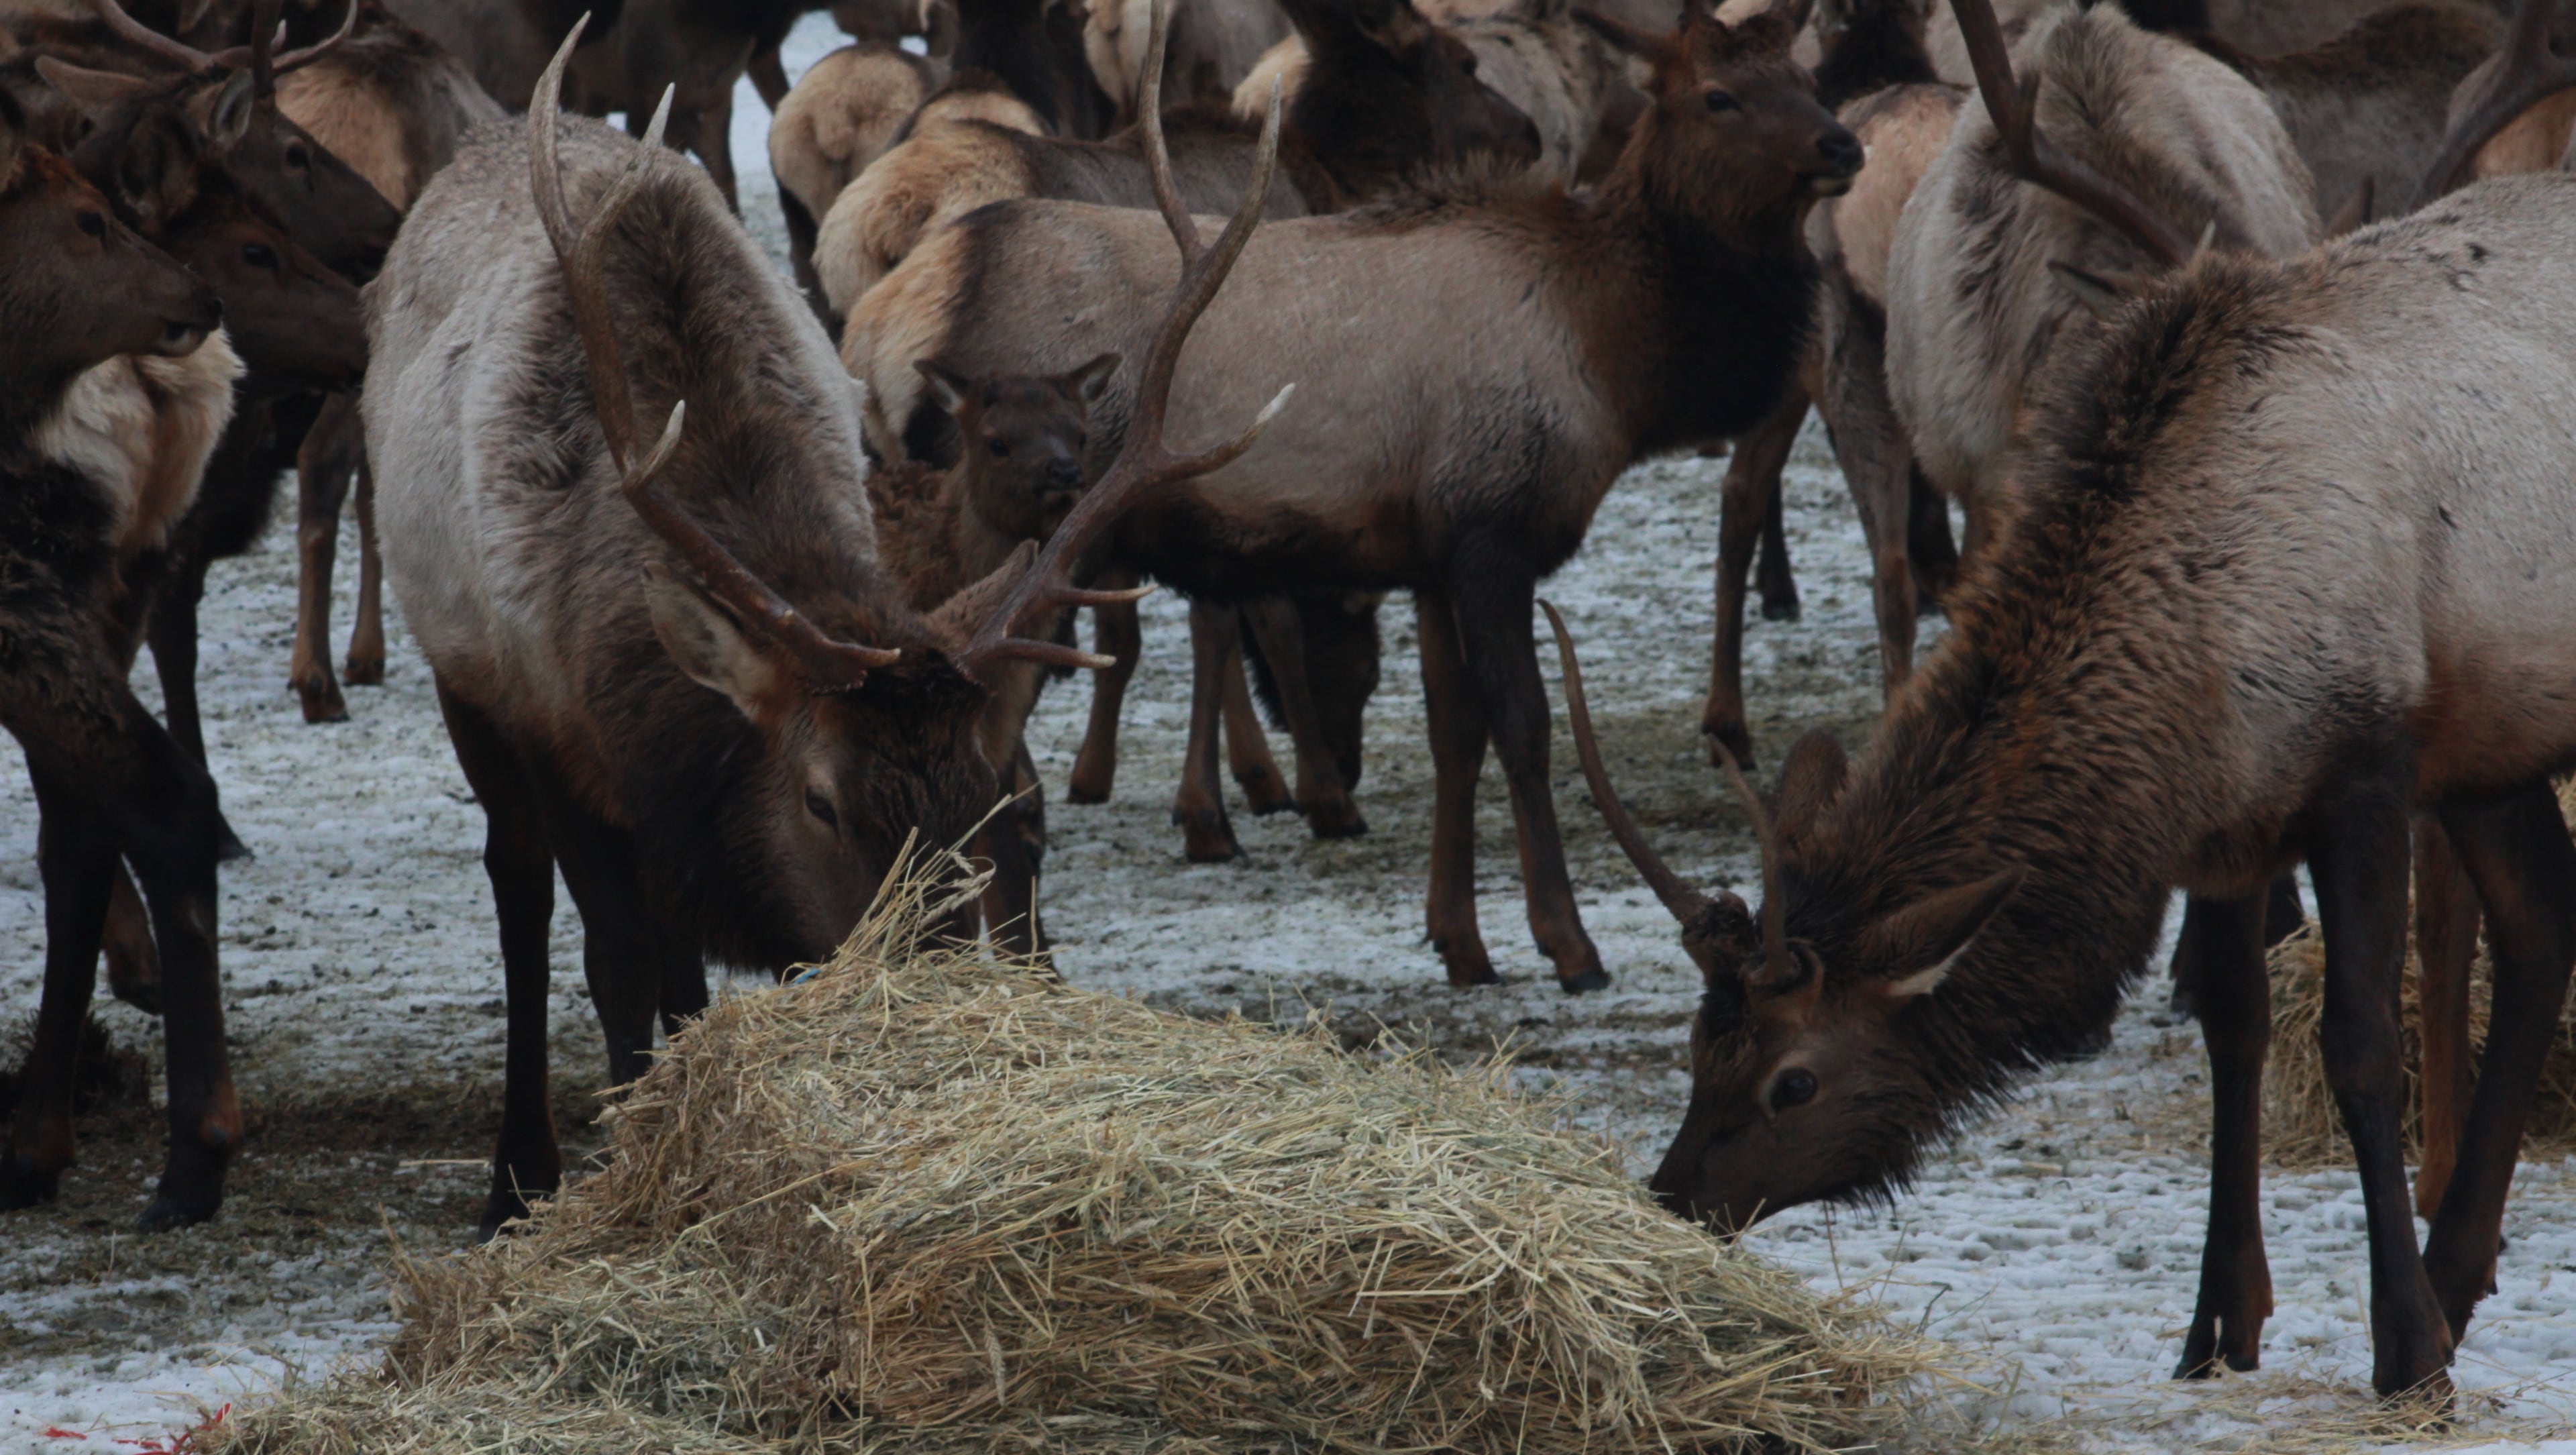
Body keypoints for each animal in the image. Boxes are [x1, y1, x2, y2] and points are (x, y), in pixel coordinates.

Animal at [363, 21, 1285, 1234]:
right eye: (820, 800)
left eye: (984, 799)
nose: (930, 1000)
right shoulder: (557, 728)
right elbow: (611, 962)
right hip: (458, 670)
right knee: (516, 889)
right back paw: (516, 1171)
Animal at [847, 0, 1859, 991]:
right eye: (1719, 96)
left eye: (1804, 78)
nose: (1843, 144)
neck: (1613, 359)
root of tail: (884, 315)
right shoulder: (1492, 527)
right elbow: (1525, 728)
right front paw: (1568, 945)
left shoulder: (1432, 555)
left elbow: (1457, 734)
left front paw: (1462, 941)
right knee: (990, 749)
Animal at [1551, 0, 2576, 1396]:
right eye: (1703, 1047)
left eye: (1793, 1080)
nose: (1674, 1193)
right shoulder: (2234, 812)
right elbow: (2234, 1019)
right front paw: (2221, 1321)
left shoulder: (2365, 759)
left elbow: (2357, 1042)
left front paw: (2404, 1347)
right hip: (2499, 731)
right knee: (2542, 930)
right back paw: (2464, 1265)